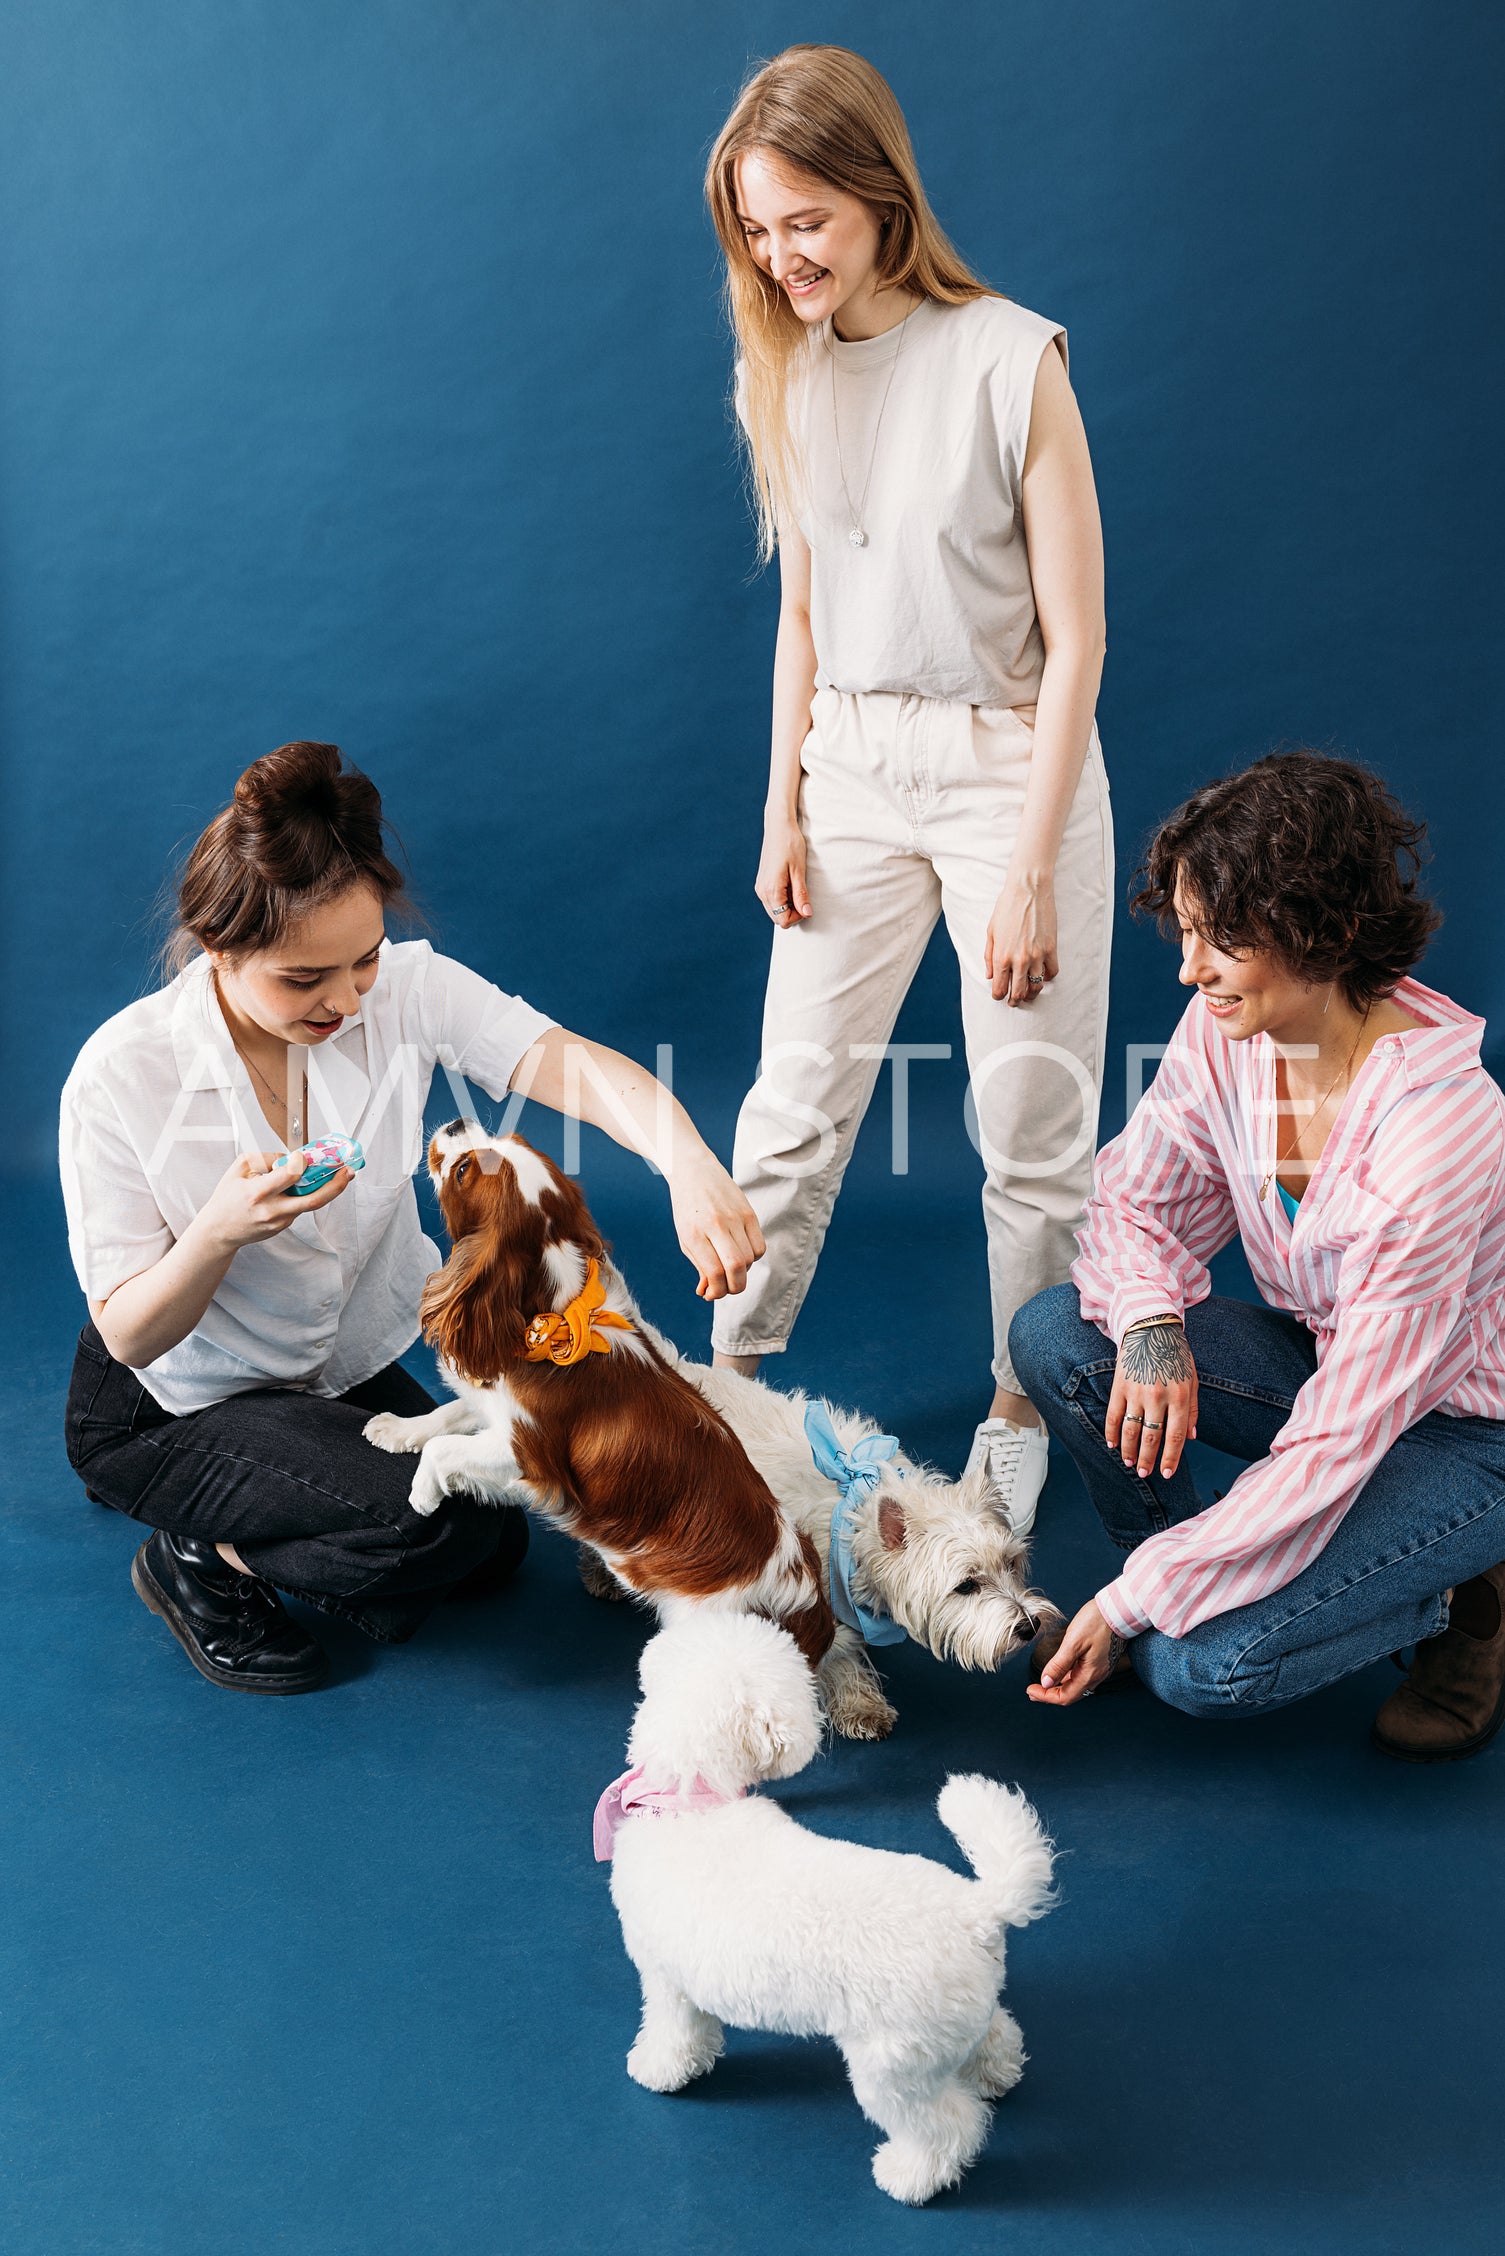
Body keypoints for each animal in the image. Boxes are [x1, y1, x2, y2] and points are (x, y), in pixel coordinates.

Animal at [604, 1615, 1060, 2210]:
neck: (693, 1796)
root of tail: (976, 1910)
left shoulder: (666, 1980)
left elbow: (672, 2032)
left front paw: (659, 2069)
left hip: (893, 2064)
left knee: (947, 2127)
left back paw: (911, 2176)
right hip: (957, 2021)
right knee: (998, 2035)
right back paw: (998, 2076)